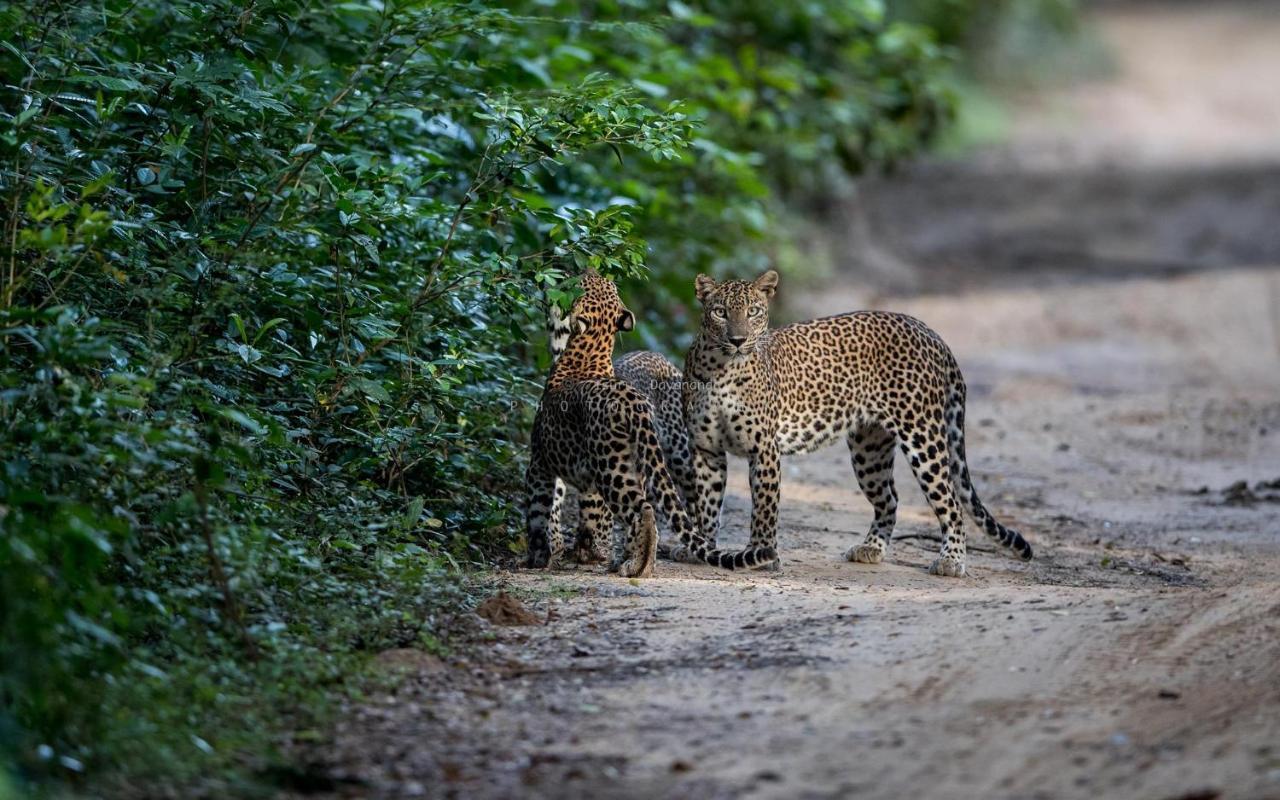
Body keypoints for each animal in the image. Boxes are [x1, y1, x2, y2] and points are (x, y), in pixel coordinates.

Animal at [524, 271, 773, 576]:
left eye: (583, 285)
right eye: (608, 286)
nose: (590, 271)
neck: (588, 352)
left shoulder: (539, 463)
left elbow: (538, 513)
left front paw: (541, 558)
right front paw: (582, 552)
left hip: (635, 461)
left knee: (654, 507)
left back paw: (639, 564)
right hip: (632, 462)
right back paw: (637, 560)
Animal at [680, 268, 1029, 573]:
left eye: (753, 311)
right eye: (720, 312)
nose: (738, 340)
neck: (722, 369)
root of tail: (931, 333)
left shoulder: (763, 449)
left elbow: (764, 509)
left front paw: (761, 555)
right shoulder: (706, 449)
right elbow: (706, 505)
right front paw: (703, 549)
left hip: (923, 436)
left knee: (952, 502)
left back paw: (951, 561)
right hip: (869, 450)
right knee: (890, 499)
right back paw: (871, 548)